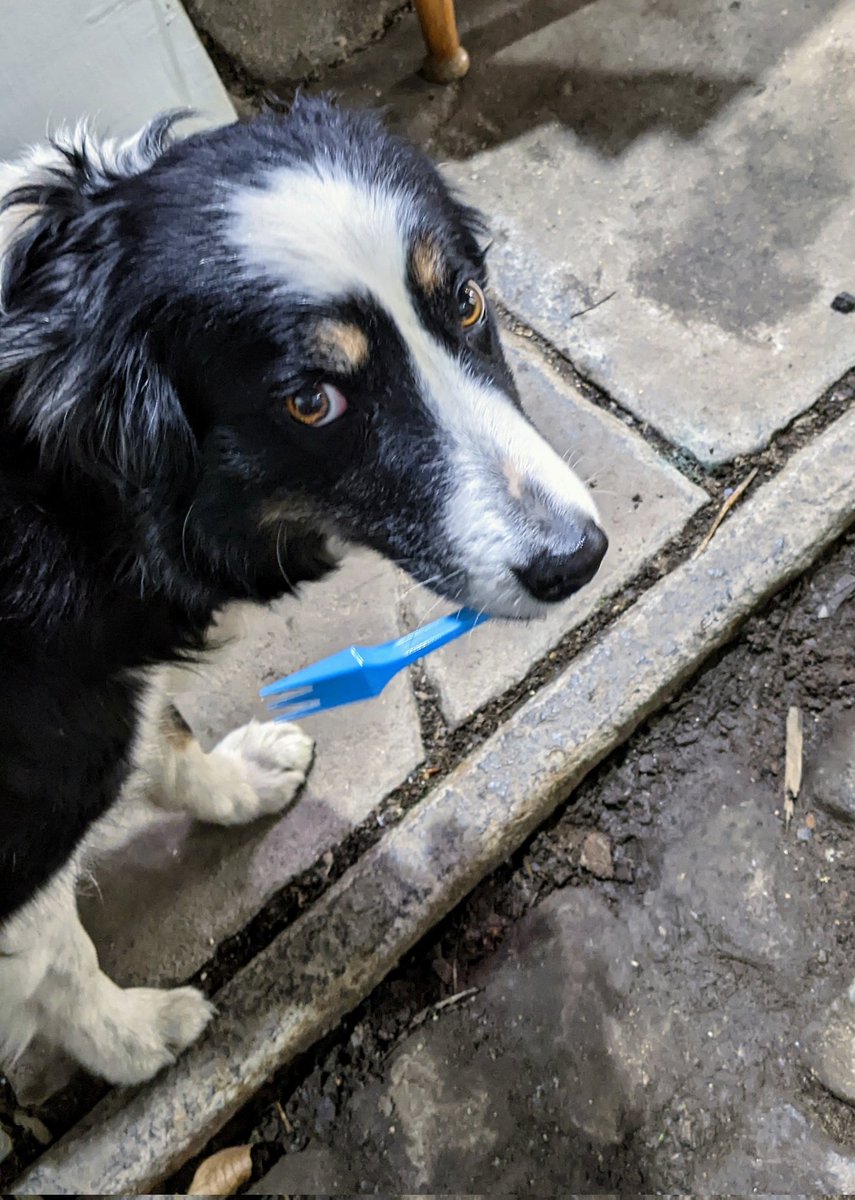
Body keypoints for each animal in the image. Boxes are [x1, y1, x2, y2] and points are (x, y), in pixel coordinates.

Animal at [0, 96, 607, 1089]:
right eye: (311, 402)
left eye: (466, 302)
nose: (576, 559)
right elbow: (58, 954)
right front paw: (133, 1041)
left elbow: (164, 732)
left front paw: (242, 780)